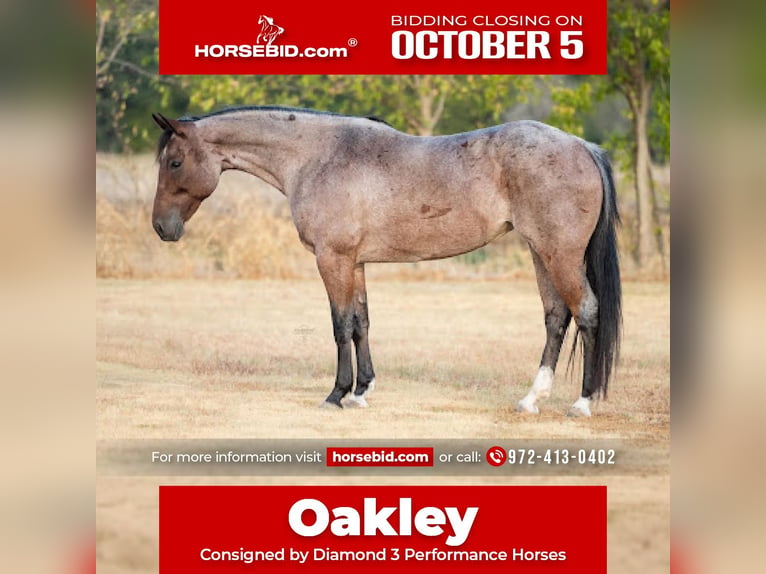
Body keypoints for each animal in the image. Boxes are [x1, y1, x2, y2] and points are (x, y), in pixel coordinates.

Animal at [151, 105, 621, 417]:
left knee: (586, 313)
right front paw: (362, 391)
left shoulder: (333, 259)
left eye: (174, 162)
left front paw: (336, 394)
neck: (317, 156)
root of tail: (583, 146)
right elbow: (361, 322)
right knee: (556, 317)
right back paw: (531, 399)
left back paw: (582, 403)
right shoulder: (355, 263)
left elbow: (340, 325)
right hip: (541, 253)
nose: (160, 228)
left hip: (559, 255)